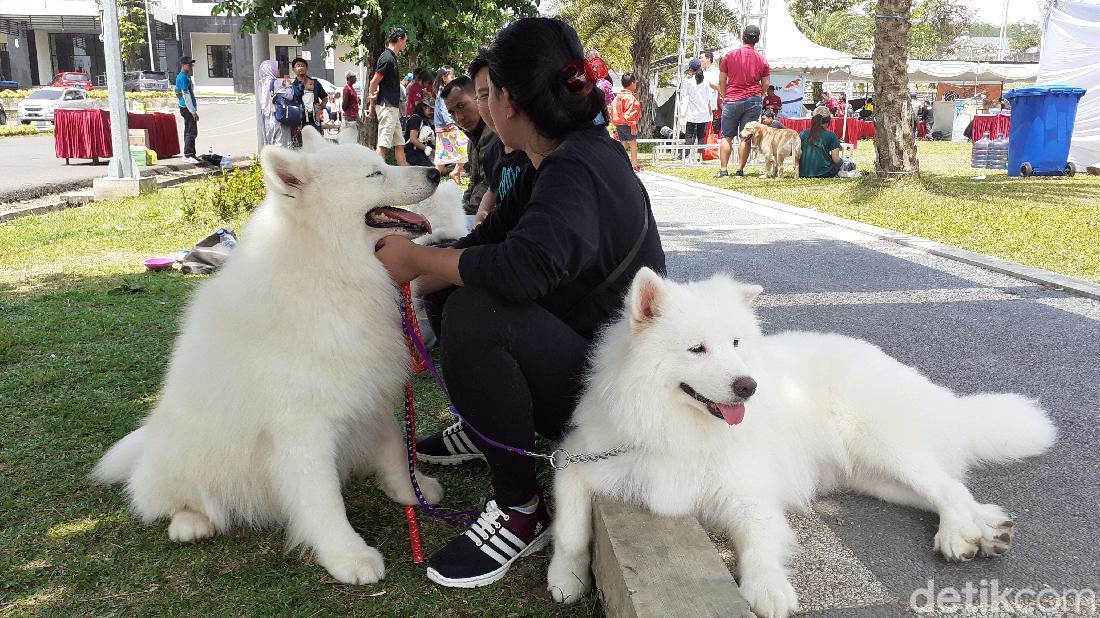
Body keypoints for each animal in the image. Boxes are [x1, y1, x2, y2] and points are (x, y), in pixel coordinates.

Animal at [91, 128, 442, 580]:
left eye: (382, 162)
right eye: (374, 173)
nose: (436, 171)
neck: (330, 270)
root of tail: (149, 444)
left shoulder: (371, 393)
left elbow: (396, 451)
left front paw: (413, 493)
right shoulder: (302, 427)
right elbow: (323, 499)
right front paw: (348, 556)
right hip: (190, 455)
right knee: (168, 499)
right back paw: (190, 523)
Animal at [550, 268, 1056, 615]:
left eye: (736, 343)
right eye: (697, 349)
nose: (748, 386)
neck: (677, 425)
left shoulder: (748, 495)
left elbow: (759, 544)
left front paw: (768, 590)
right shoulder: (575, 460)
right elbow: (570, 528)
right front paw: (567, 577)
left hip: (884, 444)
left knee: (948, 486)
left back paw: (958, 534)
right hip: (875, 477)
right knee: (951, 489)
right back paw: (986, 529)